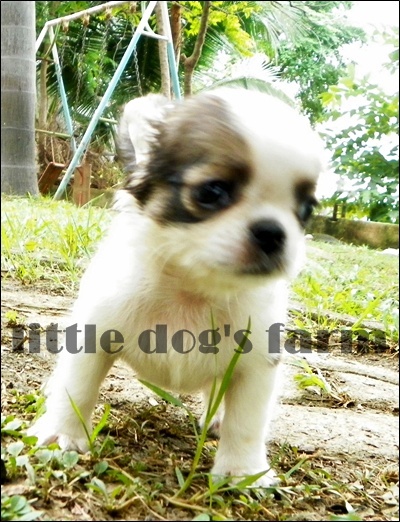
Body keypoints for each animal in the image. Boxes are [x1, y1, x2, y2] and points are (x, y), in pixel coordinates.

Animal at [29, 88, 324, 487]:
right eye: (212, 191)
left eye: (306, 209)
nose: (273, 232)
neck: (191, 289)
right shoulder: (95, 332)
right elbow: (76, 388)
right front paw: (62, 433)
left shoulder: (256, 363)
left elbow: (246, 421)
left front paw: (242, 471)